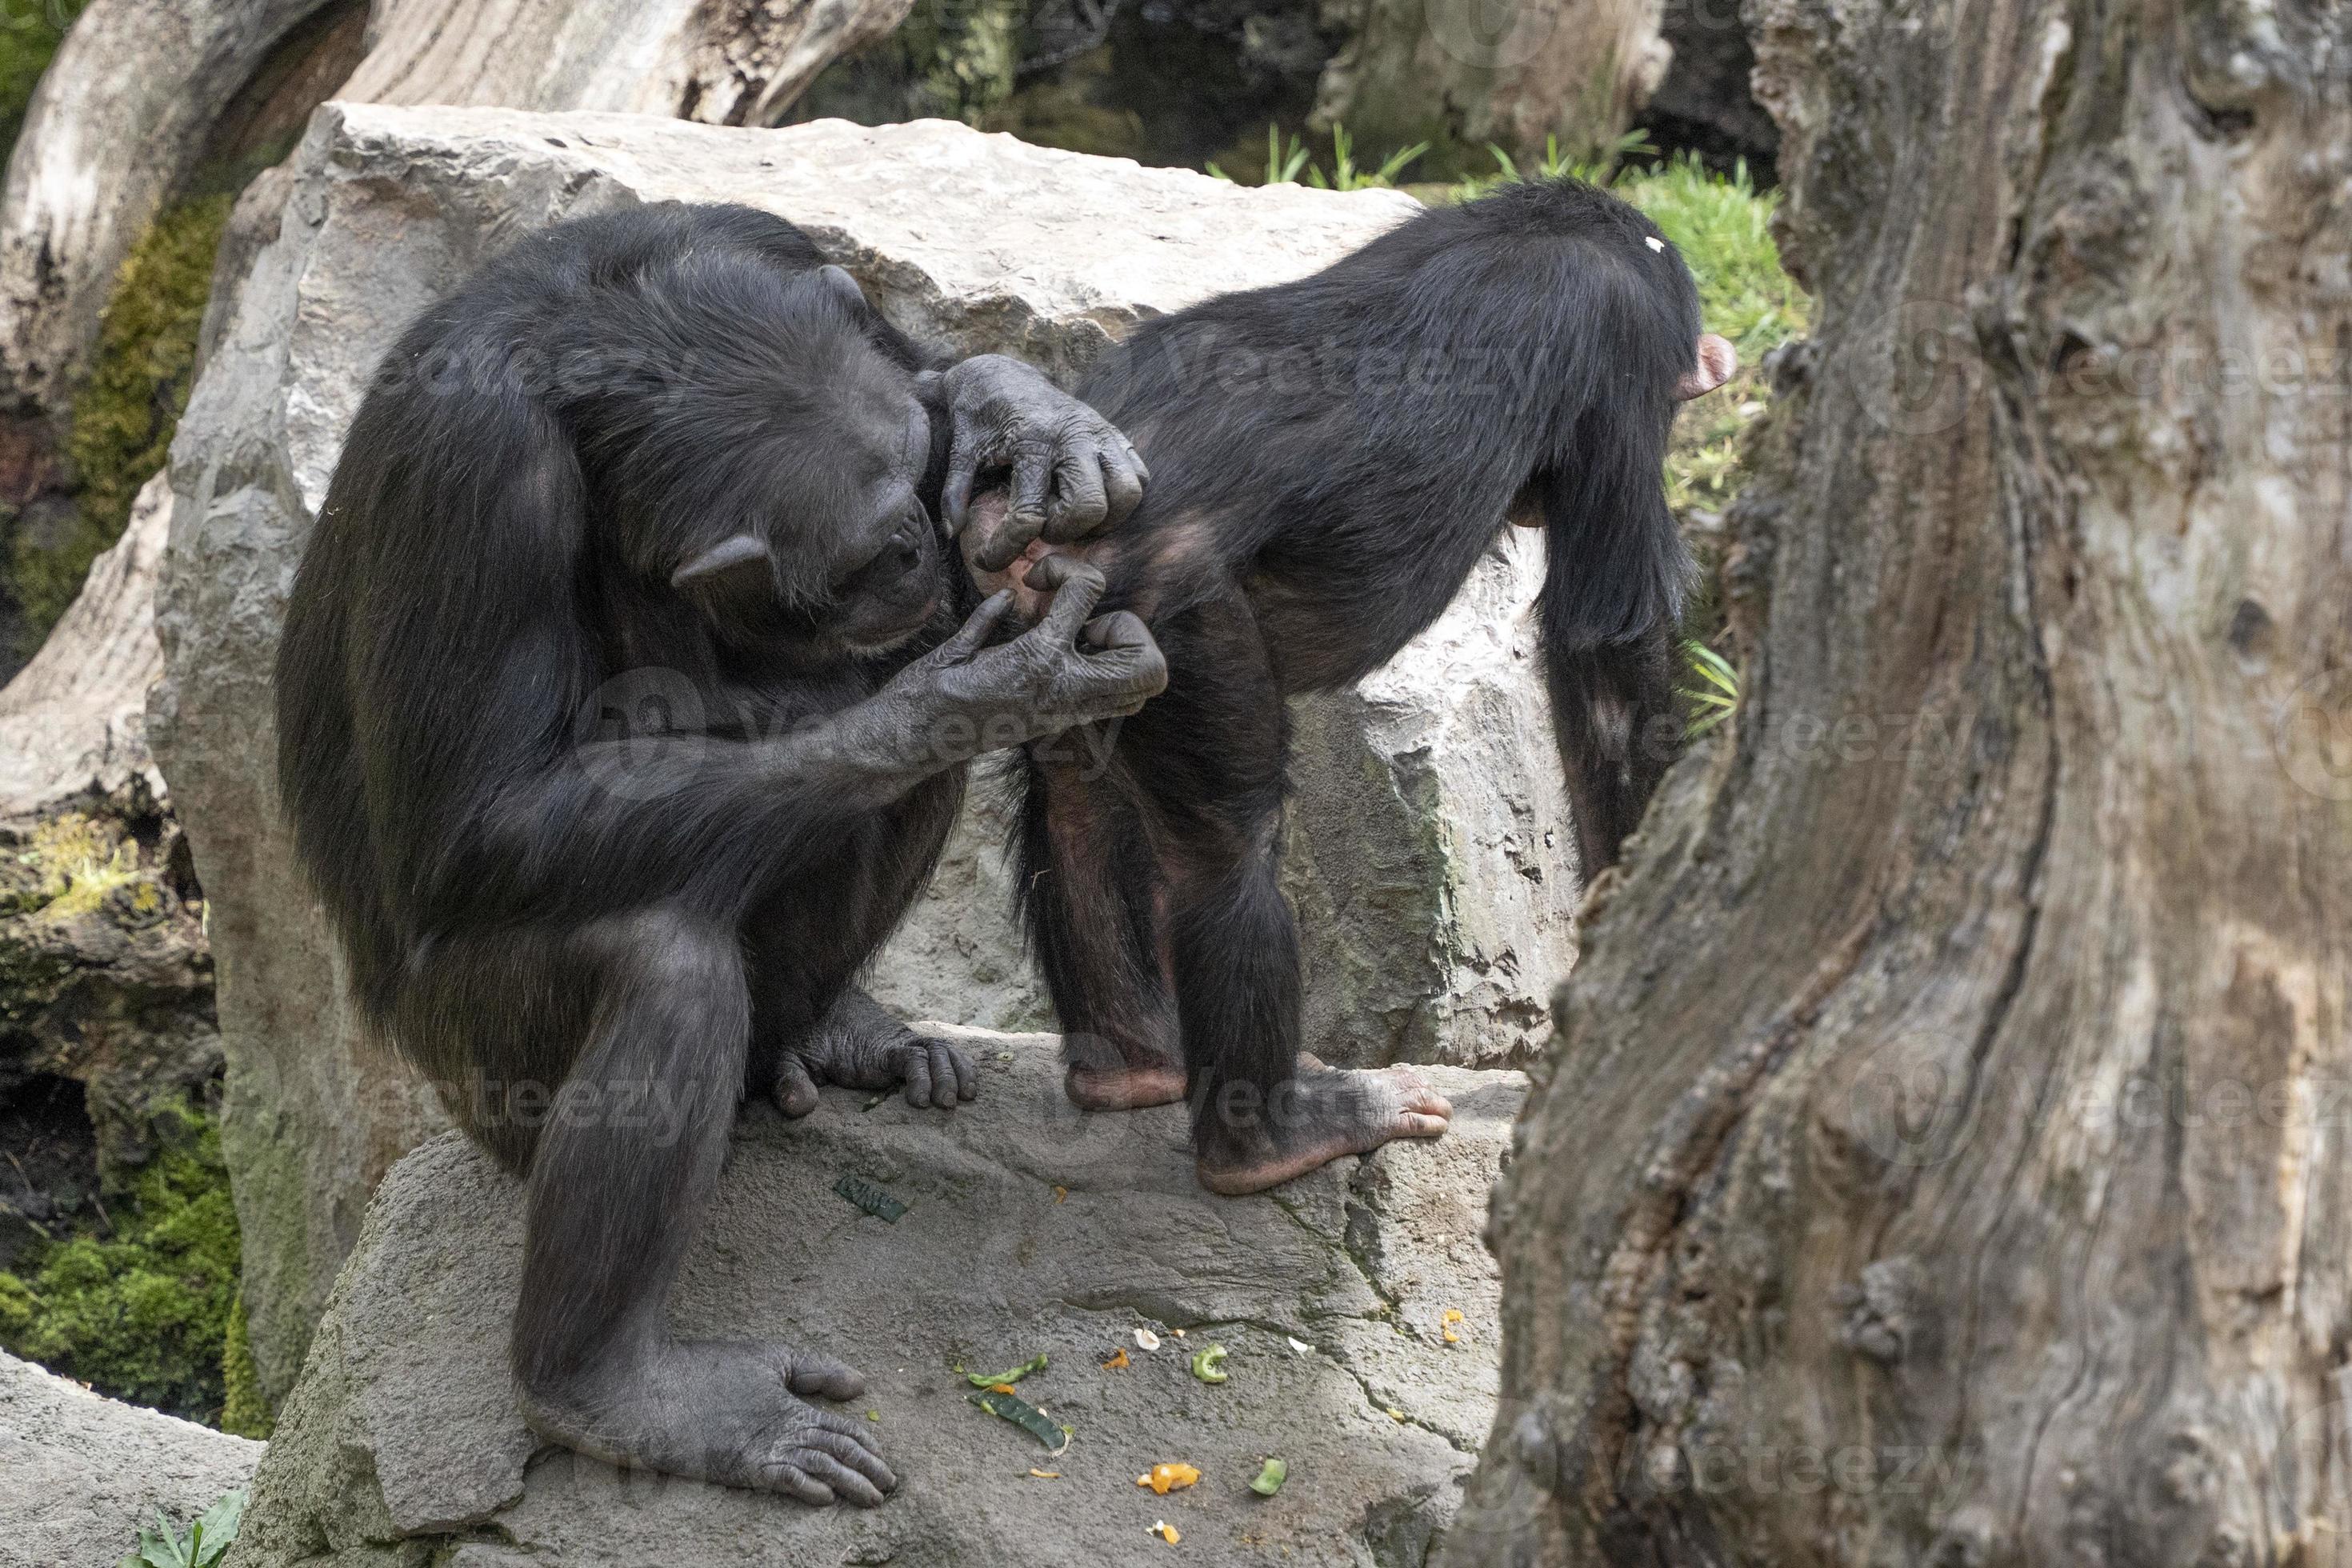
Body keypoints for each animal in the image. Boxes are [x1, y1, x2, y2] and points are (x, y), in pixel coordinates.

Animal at [279, 202, 1162, 1504]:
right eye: (875, 548)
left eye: (920, 470)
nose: (929, 547)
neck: (604, 330)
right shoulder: (473, 475)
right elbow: (481, 818)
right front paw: (984, 687)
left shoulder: (764, 236)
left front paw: (1022, 412)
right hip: (471, 1076)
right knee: (666, 971)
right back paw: (616, 1392)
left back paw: (838, 1032)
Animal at [964, 177, 1740, 1194]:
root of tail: (1045, 519)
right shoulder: (1626, 349)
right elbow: (1609, 647)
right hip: (1172, 619)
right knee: (1229, 849)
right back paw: (1273, 1136)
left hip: (1064, 644)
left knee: (1076, 799)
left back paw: (1138, 1067)